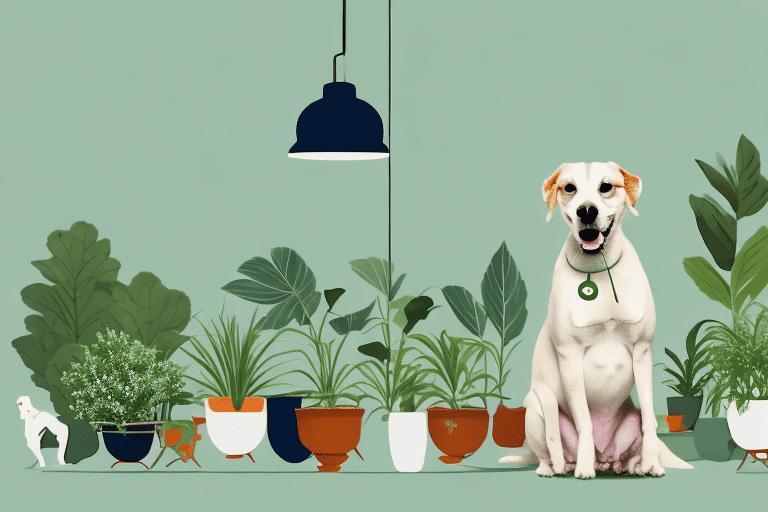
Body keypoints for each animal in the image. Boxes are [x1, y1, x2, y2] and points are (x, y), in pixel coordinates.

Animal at [500, 162, 692, 478]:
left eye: (606, 187)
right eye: (569, 188)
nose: (587, 210)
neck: (598, 269)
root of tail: (606, 458)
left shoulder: (642, 352)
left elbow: (650, 420)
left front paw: (652, 463)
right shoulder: (570, 357)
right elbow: (585, 423)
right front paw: (583, 468)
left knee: (632, 440)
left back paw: (631, 465)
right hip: (535, 404)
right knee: (547, 448)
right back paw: (559, 466)